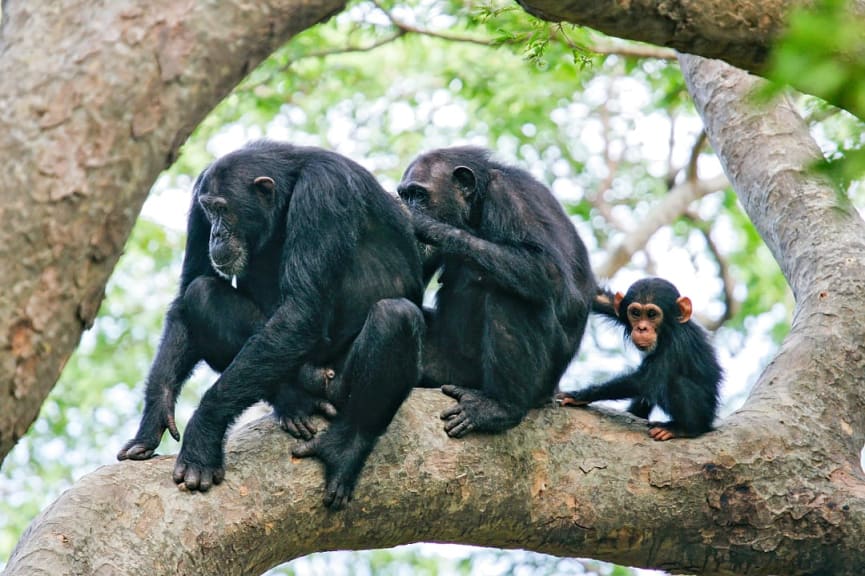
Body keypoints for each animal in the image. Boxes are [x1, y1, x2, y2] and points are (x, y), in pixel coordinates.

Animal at [115, 140, 426, 508]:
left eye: (223, 209)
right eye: (209, 211)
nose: (216, 233)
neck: (289, 187)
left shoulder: (324, 192)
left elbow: (301, 310)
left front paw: (203, 433)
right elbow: (191, 285)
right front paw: (155, 414)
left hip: (338, 381)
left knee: (395, 317)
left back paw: (343, 450)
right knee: (203, 294)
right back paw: (293, 402)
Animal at [396, 146, 592, 438]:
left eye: (419, 195)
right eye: (405, 195)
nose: (409, 205)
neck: (475, 207)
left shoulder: (509, 196)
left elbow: (547, 269)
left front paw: (422, 224)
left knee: (512, 294)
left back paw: (498, 407)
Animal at [556, 276, 720, 438]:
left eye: (652, 314)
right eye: (635, 313)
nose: (642, 328)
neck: (668, 329)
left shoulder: (676, 344)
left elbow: (644, 380)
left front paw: (578, 395)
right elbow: (600, 297)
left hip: (704, 414)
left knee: (676, 382)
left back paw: (683, 428)